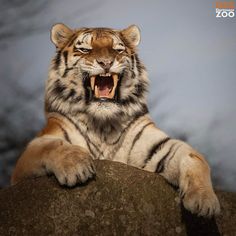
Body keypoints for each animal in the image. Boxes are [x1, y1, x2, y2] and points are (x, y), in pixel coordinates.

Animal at [11, 23, 221, 218]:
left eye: (117, 50)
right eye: (85, 49)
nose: (106, 62)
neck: (103, 124)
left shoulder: (157, 145)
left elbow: (195, 157)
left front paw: (203, 200)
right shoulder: (28, 157)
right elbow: (54, 145)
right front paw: (76, 166)